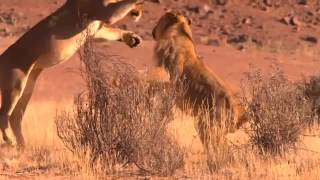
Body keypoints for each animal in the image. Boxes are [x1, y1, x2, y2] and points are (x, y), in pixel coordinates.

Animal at [0, 0, 155, 149]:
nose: (140, 13)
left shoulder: (96, 29)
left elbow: (112, 31)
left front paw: (131, 37)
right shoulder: (105, 12)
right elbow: (122, 5)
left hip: (28, 87)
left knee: (15, 116)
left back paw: (22, 145)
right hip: (15, 85)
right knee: (4, 113)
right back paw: (10, 141)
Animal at [151, 12, 246, 145]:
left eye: (160, 19)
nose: (153, 30)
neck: (178, 32)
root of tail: (241, 112)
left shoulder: (171, 81)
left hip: (207, 127)